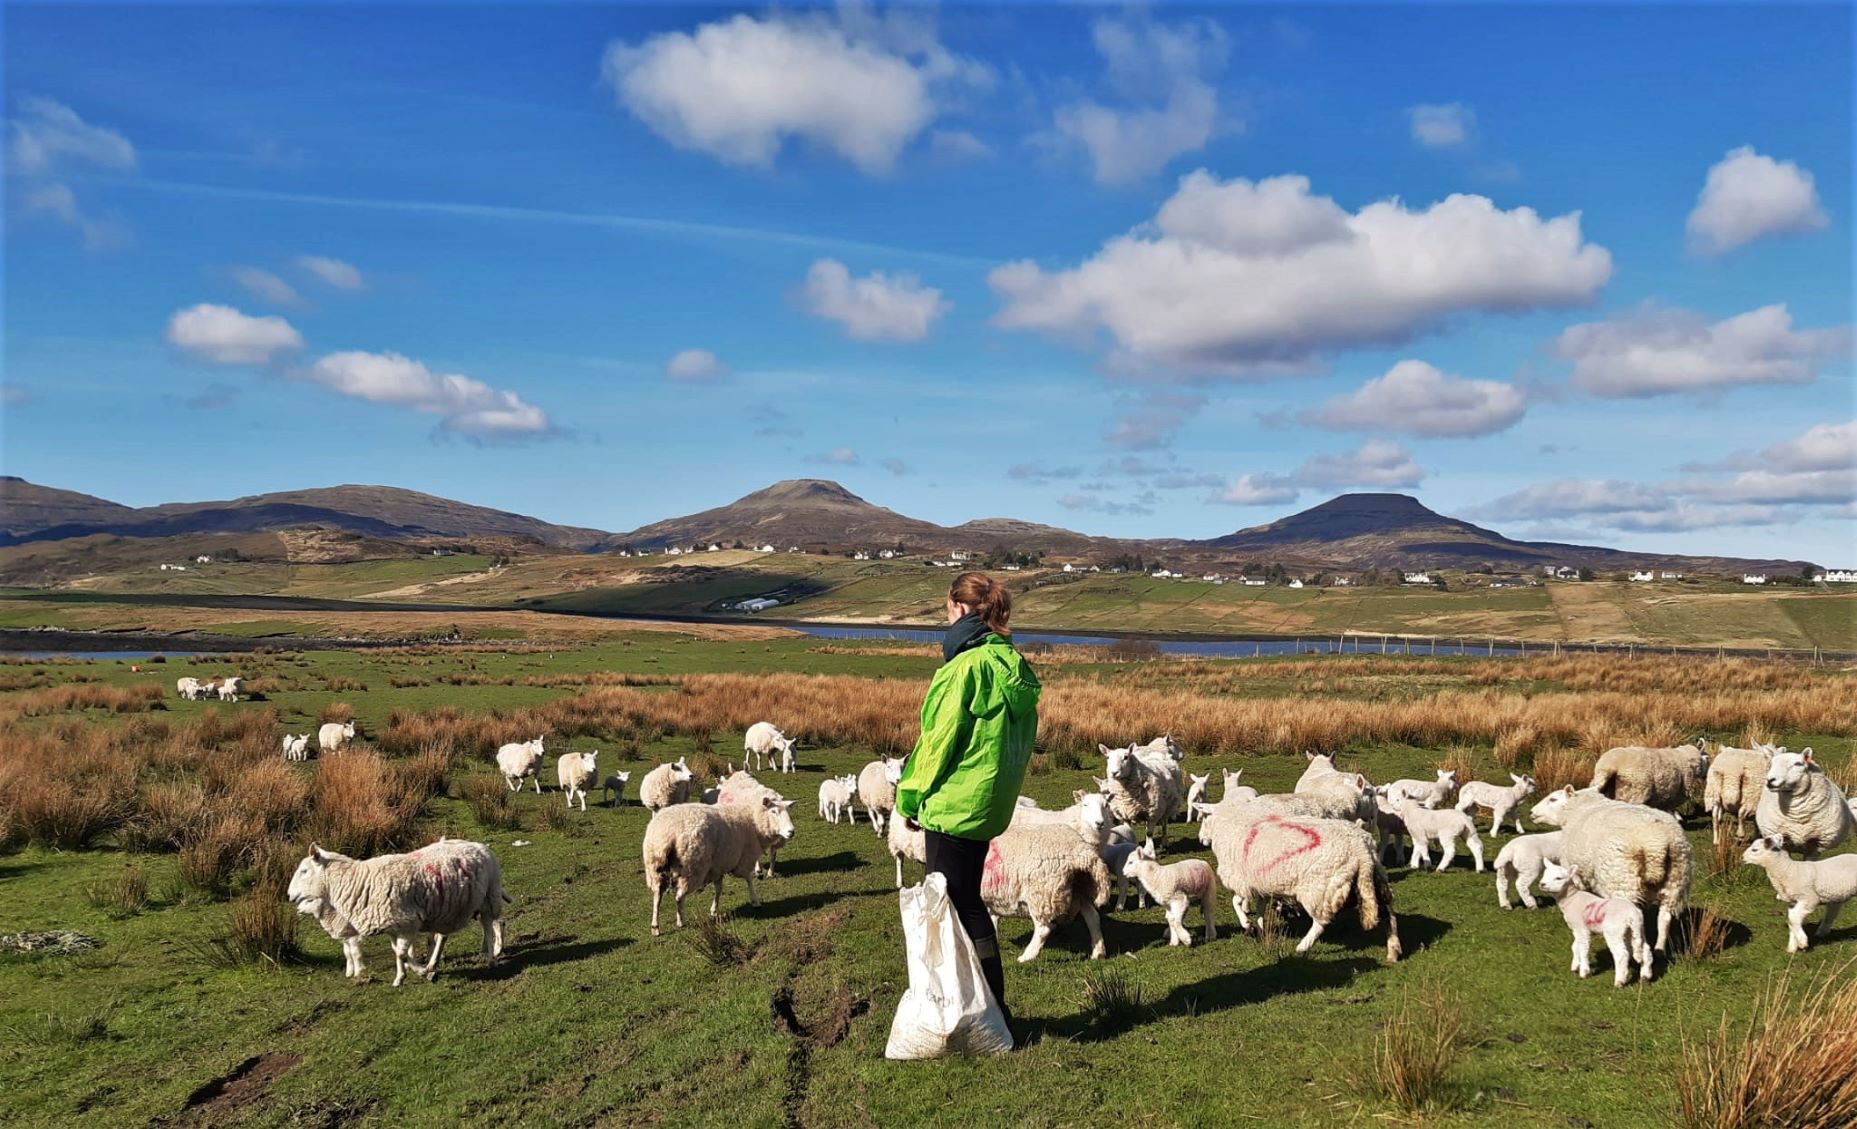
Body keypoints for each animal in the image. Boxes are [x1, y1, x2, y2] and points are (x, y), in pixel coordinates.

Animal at [285, 838, 508, 986]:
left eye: (304, 871)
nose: (289, 896)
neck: (359, 882)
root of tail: (480, 846)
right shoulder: (394, 925)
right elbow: (398, 953)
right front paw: (401, 977)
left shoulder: (408, 922)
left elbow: (401, 953)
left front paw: (423, 973)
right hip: (460, 907)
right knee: (465, 931)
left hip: (490, 897)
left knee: (490, 926)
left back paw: (491, 957)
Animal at [641, 797, 797, 936]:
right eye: (774, 811)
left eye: (788, 811)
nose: (791, 831)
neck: (754, 821)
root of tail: (667, 834)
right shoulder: (744, 858)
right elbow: (749, 879)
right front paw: (755, 900)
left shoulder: (719, 865)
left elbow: (719, 889)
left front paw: (714, 910)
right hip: (691, 868)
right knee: (679, 896)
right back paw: (681, 922)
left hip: (655, 869)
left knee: (657, 897)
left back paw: (655, 927)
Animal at [1205, 804, 1402, 962]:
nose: (1203, 839)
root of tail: (1361, 849)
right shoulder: (1261, 885)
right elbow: (1260, 909)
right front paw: (1261, 930)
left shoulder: (1243, 881)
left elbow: (1236, 902)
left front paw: (1247, 924)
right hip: (1374, 878)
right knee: (1388, 913)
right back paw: (1393, 950)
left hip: (1319, 888)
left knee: (1321, 922)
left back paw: (1303, 946)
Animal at [1529, 786, 1691, 952]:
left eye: (1553, 799)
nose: (1531, 812)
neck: (1581, 807)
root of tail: (1656, 844)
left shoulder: (1573, 869)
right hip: (1676, 879)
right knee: (1664, 918)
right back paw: (1660, 949)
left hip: (1622, 882)